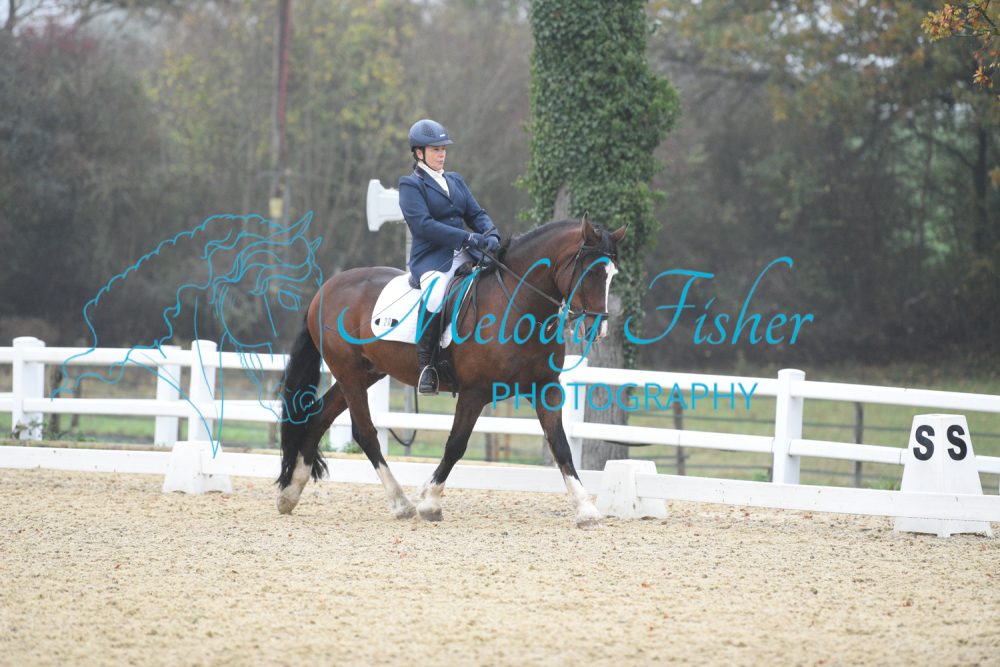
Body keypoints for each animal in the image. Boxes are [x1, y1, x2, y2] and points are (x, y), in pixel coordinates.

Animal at [276, 217, 627, 527]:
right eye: (590, 272)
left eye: (612, 274)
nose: (598, 329)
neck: (518, 305)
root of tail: (327, 288)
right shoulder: (475, 392)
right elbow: (456, 445)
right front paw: (429, 503)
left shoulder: (546, 388)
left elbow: (561, 445)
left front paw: (586, 509)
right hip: (348, 373)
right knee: (365, 433)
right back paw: (401, 503)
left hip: (365, 372)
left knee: (319, 417)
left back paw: (290, 493)